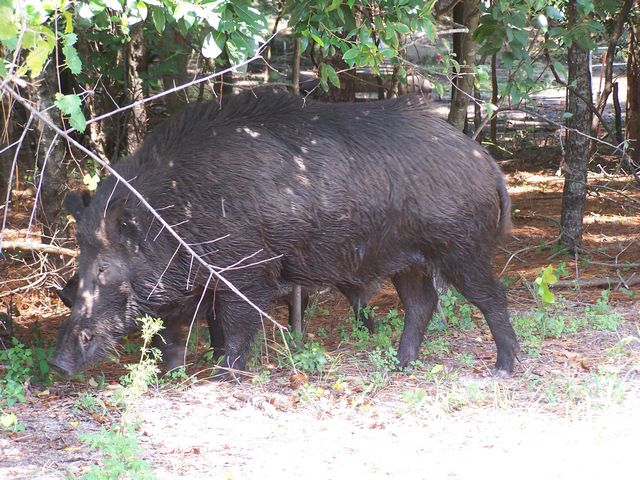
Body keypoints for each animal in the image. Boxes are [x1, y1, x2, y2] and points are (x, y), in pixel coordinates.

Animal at [51, 91, 520, 378]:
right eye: (80, 257)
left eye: (104, 266)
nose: (57, 364)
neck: (175, 213)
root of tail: (485, 161)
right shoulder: (195, 283)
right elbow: (179, 333)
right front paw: (175, 376)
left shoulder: (247, 270)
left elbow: (235, 326)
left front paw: (223, 376)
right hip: (407, 259)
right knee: (422, 302)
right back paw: (400, 364)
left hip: (462, 248)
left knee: (492, 297)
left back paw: (502, 368)